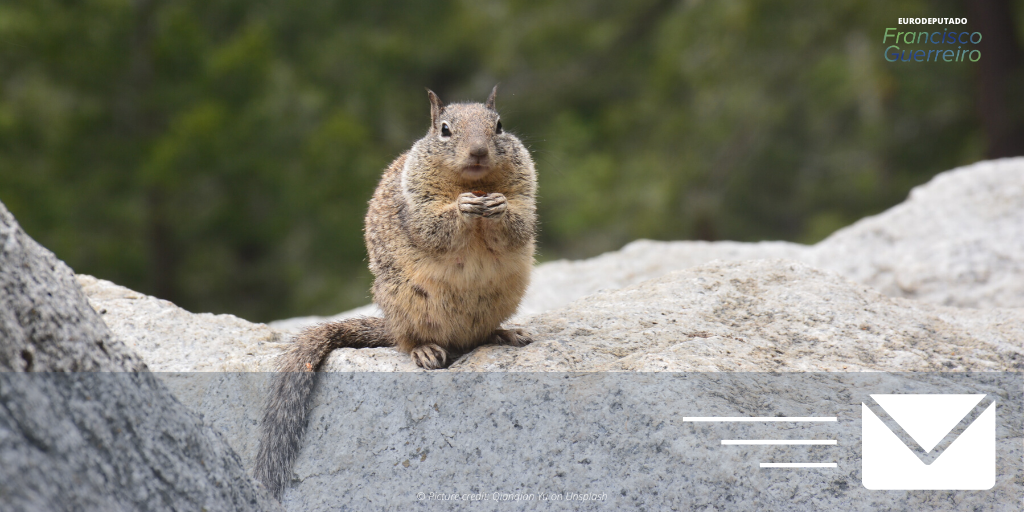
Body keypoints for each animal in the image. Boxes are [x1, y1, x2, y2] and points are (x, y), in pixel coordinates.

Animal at [253, 86, 536, 497]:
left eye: (498, 126)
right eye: (445, 130)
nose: (479, 152)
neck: (473, 182)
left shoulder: (526, 192)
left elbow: (519, 225)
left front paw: (497, 206)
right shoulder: (415, 204)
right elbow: (433, 228)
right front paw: (463, 207)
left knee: (481, 335)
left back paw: (505, 333)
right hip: (406, 304)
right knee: (407, 341)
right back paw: (425, 350)